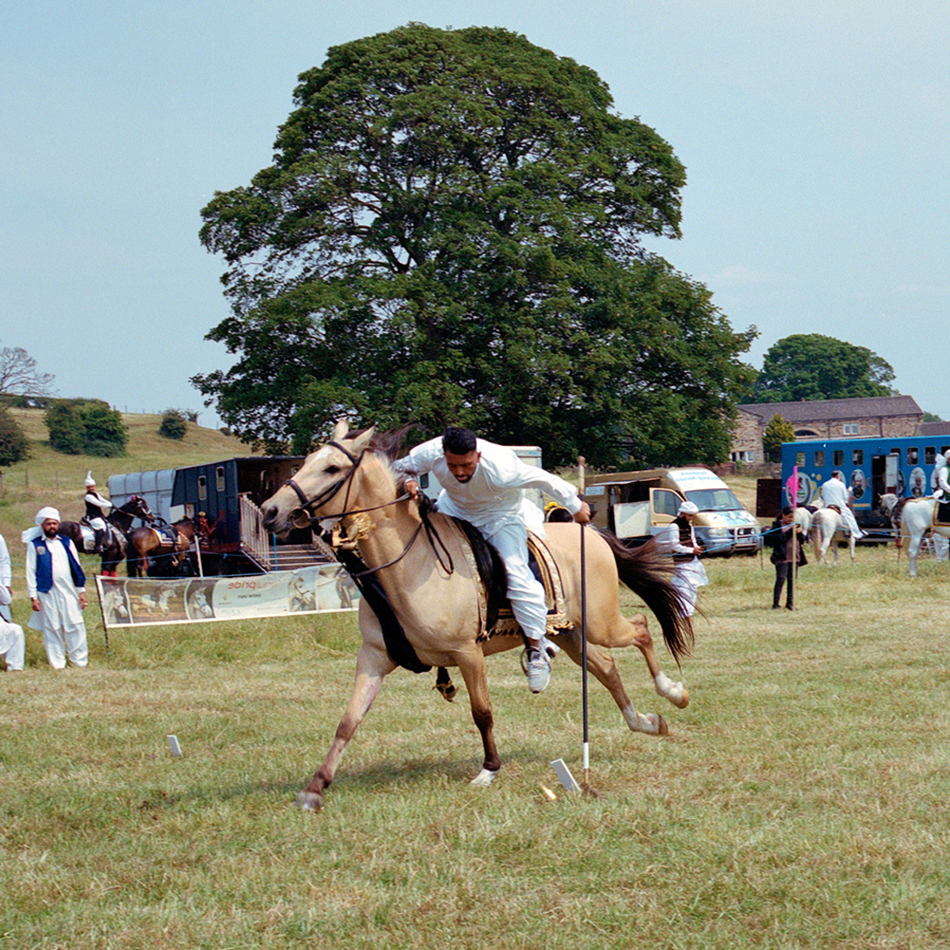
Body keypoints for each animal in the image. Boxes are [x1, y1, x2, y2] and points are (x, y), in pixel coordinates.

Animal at [264, 424, 696, 812]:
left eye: (332, 468)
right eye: (306, 461)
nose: (271, 511)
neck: (408, 565)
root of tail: (593, 534)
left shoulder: (467, 654)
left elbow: (482, 713)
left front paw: (489, 770)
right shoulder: (372, 657)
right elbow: (348, 721)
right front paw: (315, 788)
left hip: (602, 623)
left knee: (640, 631)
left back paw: (673, 692)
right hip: (571, 632)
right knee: (605, 667)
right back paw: (646, 722)